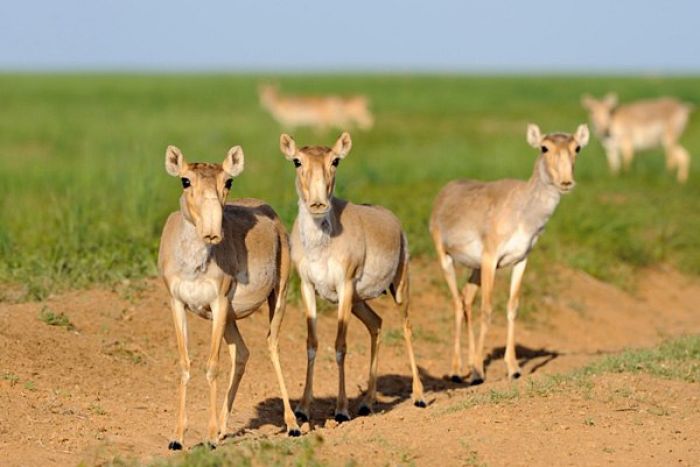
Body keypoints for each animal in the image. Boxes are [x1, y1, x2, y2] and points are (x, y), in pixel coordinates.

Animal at [159, 145, 300, 450]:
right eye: (185, 180)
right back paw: (225, 427)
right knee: (242, 352)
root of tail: (270, 212)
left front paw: (211, 437)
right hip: (229, 318)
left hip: (277, 295)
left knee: (272, 345)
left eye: (228, 181)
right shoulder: (178, 304)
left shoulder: (219, 301)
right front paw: (177, 437)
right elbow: (185, 365)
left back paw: (293, 424)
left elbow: (212, 366)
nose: (212, 232)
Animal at [280, 133, 426, 424]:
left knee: (406, 327)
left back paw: (419, 396)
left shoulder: (344, 286)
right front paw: (302, 409)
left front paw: (341, 410)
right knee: (377, 324)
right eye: (297, 161)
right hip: (359, 302)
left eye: (335, 160)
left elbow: (340, 345)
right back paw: (367, 403)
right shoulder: (308, 287)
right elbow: (312, 344)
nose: (318, 204)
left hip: (399, 287)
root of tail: (392, 219)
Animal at [430, 123, 588, 384]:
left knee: (466, 298)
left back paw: (468, 363)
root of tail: (444, 192)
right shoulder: (490, 258)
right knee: (456, 302)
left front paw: (513, 368)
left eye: (577, 147)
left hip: (475, 269)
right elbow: (487, 309)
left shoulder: (521, 260)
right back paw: (456, 370)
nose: (566, 182)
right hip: (446, 258)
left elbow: (512, 308)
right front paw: (478, 372)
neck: (523, 210)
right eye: (544, 147)